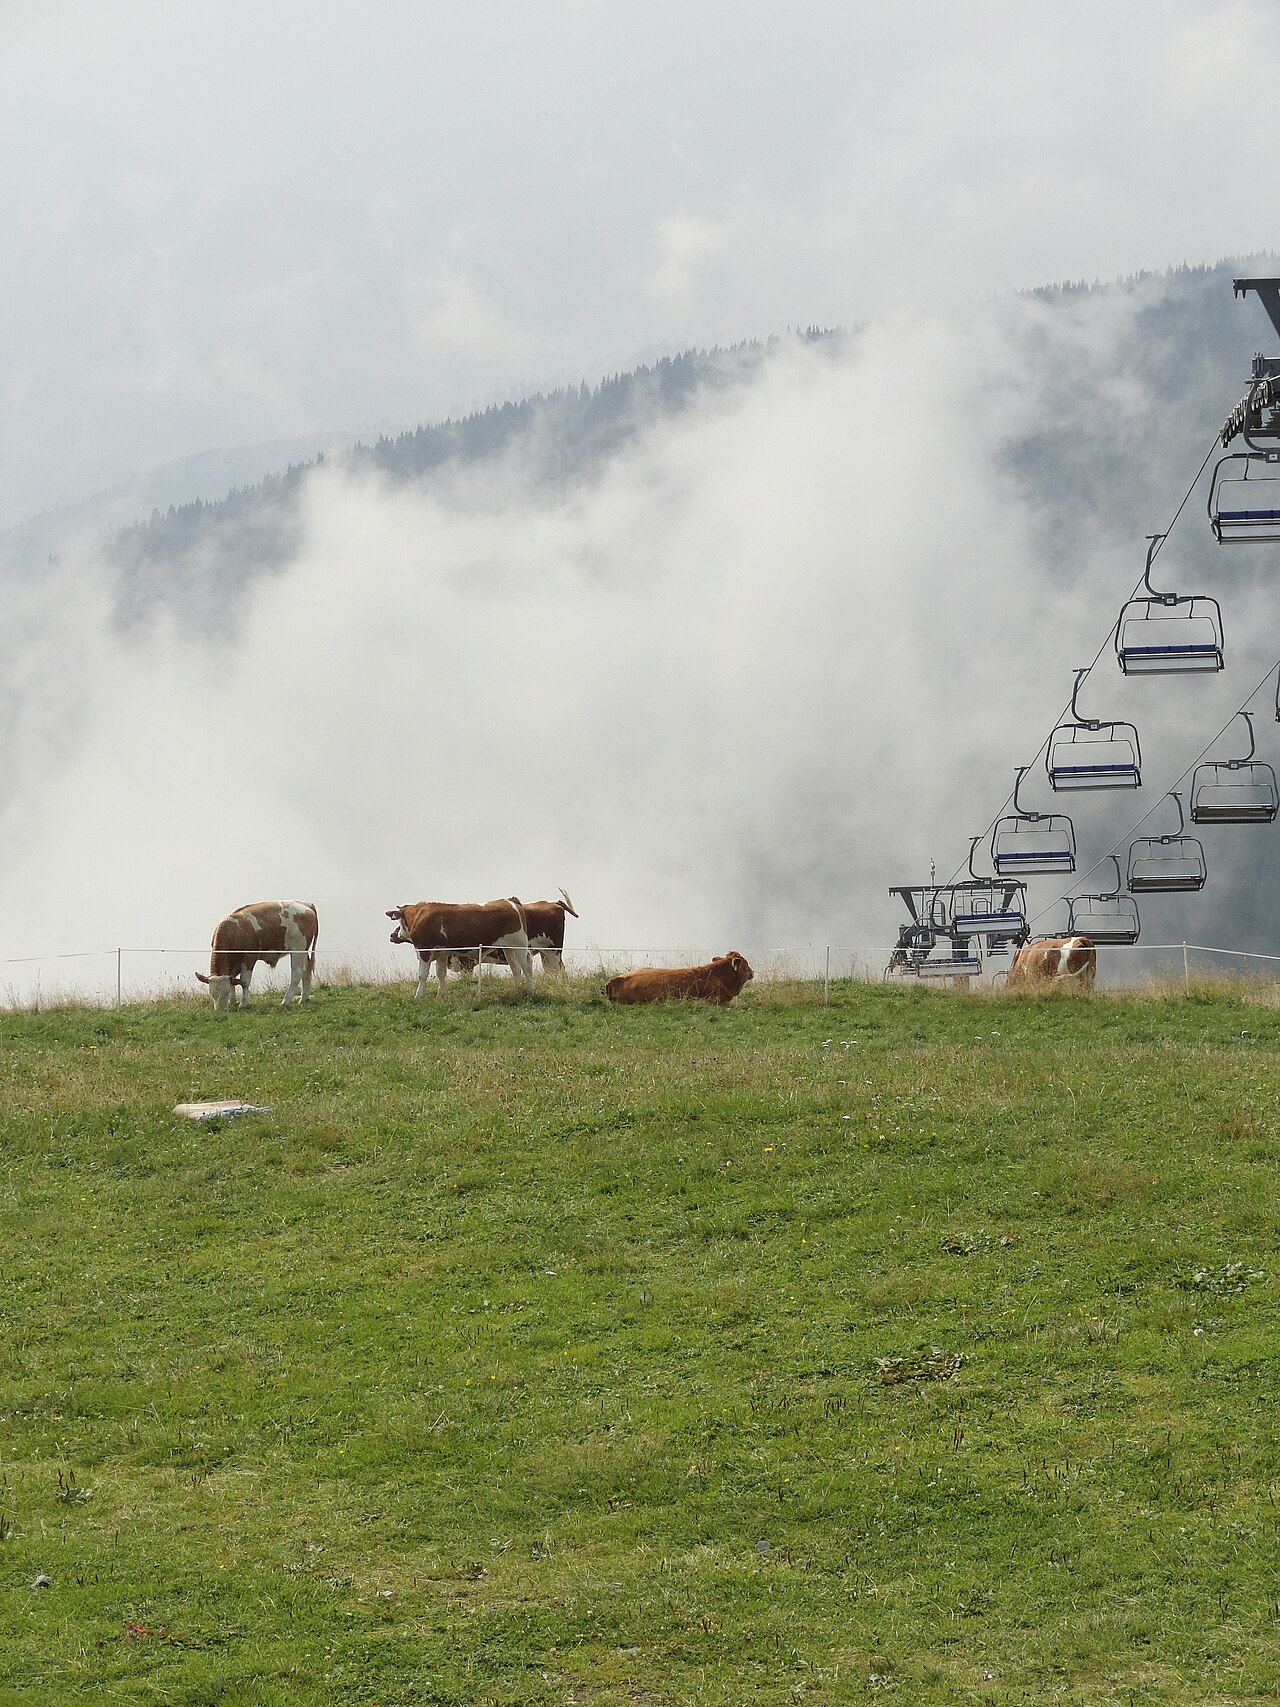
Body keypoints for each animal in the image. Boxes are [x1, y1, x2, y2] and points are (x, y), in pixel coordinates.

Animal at [387, 898, 535, 996]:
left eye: (399, 921)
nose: (393, 935)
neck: (419, 916)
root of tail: (510, 901)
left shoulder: (424, 950)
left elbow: (422, 975)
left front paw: (418, 996)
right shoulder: (441, 953)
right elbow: (441, 974)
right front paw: (440, 995)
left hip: (519, 945)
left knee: (526, 966)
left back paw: (531, 990)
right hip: (508, 947)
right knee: (516, 969)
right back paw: (517, 991)